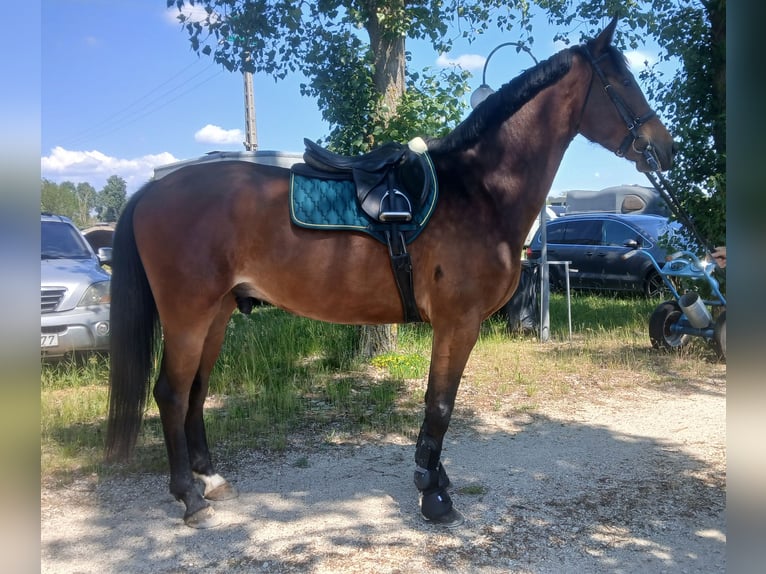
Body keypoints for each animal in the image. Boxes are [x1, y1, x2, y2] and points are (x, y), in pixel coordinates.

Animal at [105, 16, 674, 529]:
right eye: (622, 81)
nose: (663, 147)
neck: (479, 191)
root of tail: (150, 192)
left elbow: (437, 405)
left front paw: (436, 479)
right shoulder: (457, 323)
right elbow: (440, 404)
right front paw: (433, 495)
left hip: (218, 313)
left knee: (197, 391)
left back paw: (211, 480)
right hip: (187, 315)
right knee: (171, 393)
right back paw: (189, 498)